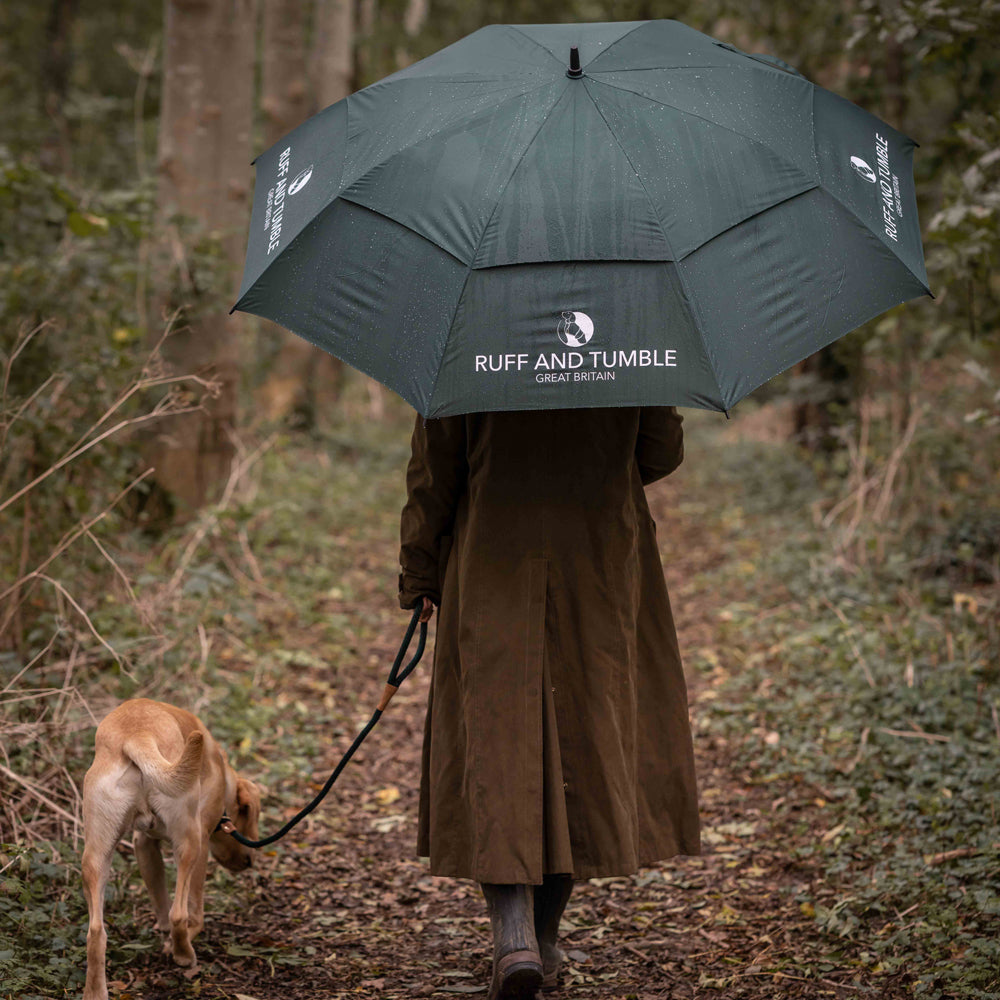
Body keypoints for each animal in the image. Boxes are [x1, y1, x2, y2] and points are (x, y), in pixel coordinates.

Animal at [81, 700, 260, 1000]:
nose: (249, 863)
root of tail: (137, 735)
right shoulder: (200, 843)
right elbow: (189, 912)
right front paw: (179, 944)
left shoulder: (143, 844)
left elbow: (161, 903)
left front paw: (164, 939)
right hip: (189, 843)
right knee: (180, 915)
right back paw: (184, 955)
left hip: (96, 857)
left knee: (96, 933)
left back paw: (95, 991)